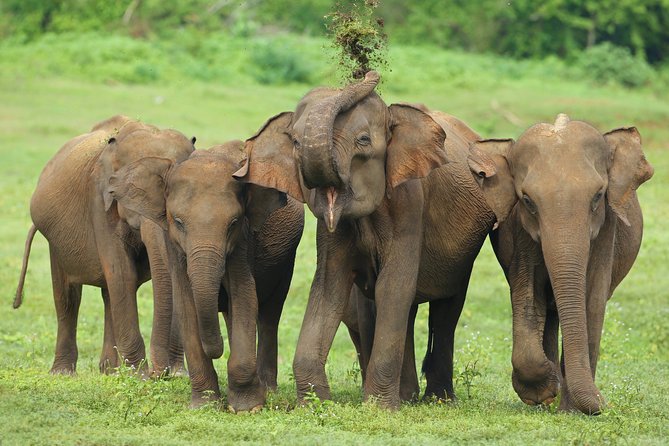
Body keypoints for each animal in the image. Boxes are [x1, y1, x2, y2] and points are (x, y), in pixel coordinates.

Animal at [13, 116, 193, 376]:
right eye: (130, 194)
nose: (160, 373)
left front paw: (176, 375)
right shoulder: (99, 199)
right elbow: (121, 272)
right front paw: (140, 376)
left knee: (109, 294)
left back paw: (110, 371)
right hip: (55, 241)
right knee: (68, 296)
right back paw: (64, 373)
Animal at [108, 140, 304, 412]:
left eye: (233, 223)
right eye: (178, 222)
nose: (217, 350)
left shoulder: (243, 241)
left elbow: (244, 295)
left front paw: (247, 408)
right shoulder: (174, 245)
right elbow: (186, 304)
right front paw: (205, 405)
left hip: (286, 260)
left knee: (269, 314)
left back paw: (268, 390)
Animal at [232, 71, 498, 410]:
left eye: (363, 141)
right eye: (294, 142)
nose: (367, 72)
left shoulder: (409, 204)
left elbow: (393, 286)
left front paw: (379, 408)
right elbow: (329, 288)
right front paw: (316, 404)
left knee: (446, 311)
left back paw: (437, 399)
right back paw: (408, 396)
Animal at [468, 113, 656, 412]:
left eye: (598, 196)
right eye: (527, 200)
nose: (605, 402)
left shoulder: (606, 231)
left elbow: (592, 301)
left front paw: (572, 411)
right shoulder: (521, 232)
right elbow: (527, 295)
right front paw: (544, 390)